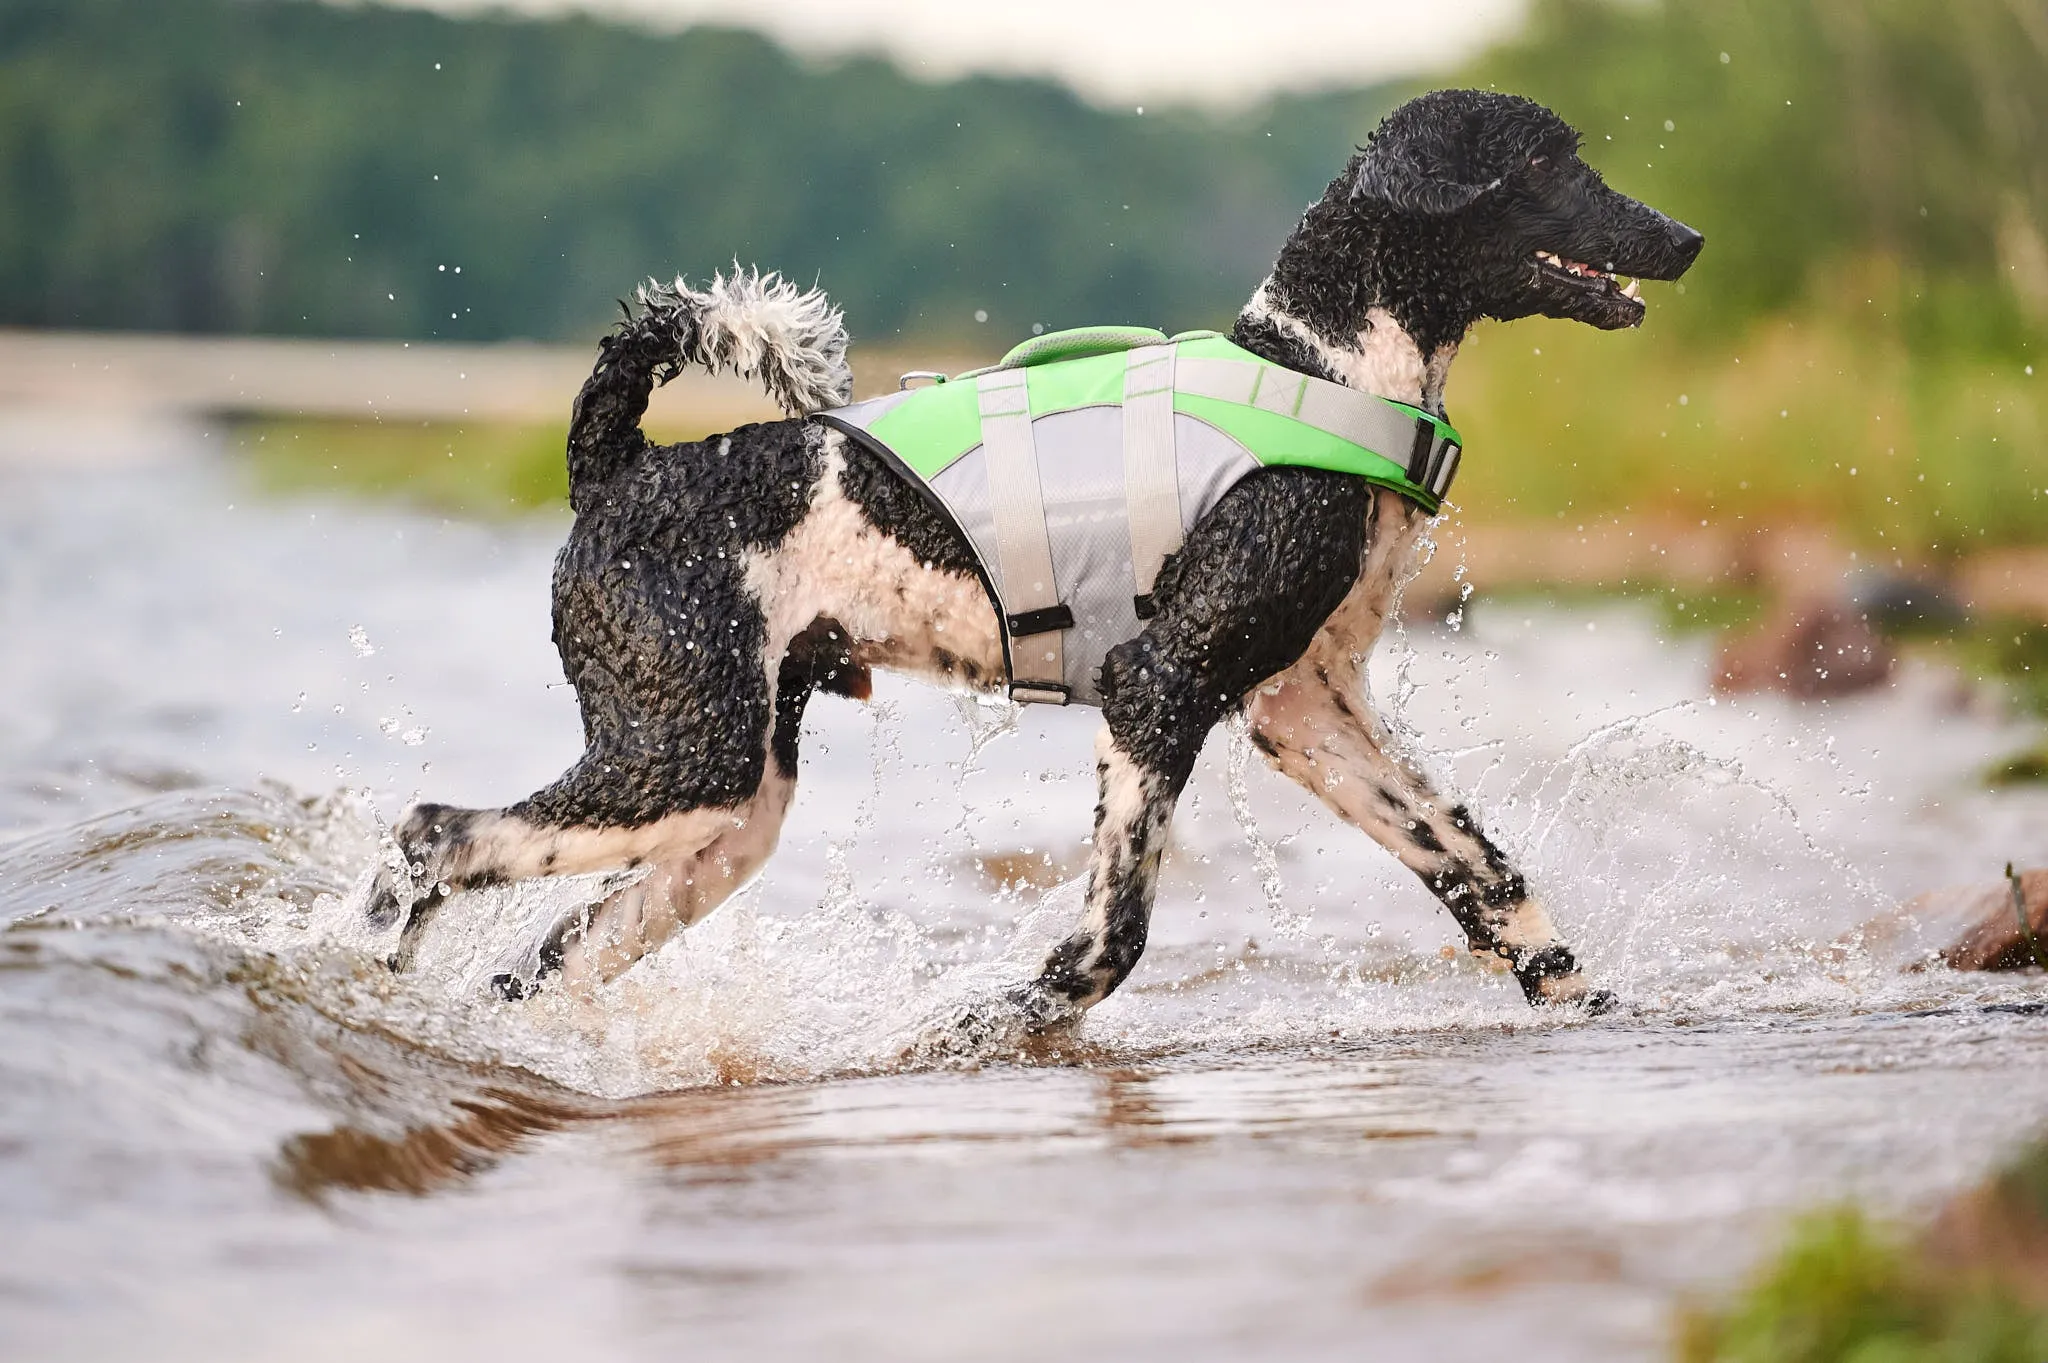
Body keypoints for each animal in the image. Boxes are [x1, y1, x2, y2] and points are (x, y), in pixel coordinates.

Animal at [364, 90, 1695, 1023]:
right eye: (1544, 162)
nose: (1682, 236)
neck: (1321, 369)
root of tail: (623, 467)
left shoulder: (1307, 709)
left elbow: (1484, 876)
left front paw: (1585, 1005)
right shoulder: (1158, 688)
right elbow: (1113, 936)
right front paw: (1007, 1019)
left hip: (724, 815)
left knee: (544, 954)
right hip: (682, 755)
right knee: (435, 835)